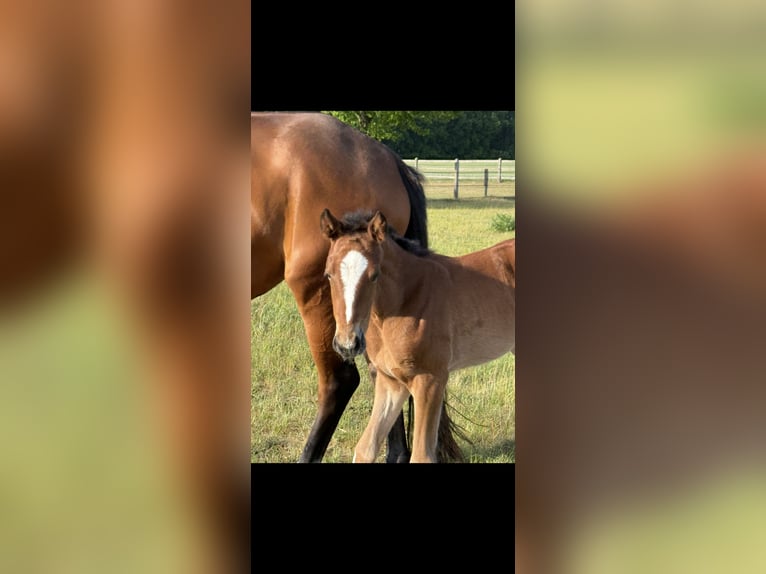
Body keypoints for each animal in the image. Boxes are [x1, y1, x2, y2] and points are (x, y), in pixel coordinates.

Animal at [319, 208, 516, 462]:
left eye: (374, 275)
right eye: (328, 274)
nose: (348, 344)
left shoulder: (429, 380)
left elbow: (422, 455)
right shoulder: (390, 381)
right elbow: (365, 447)